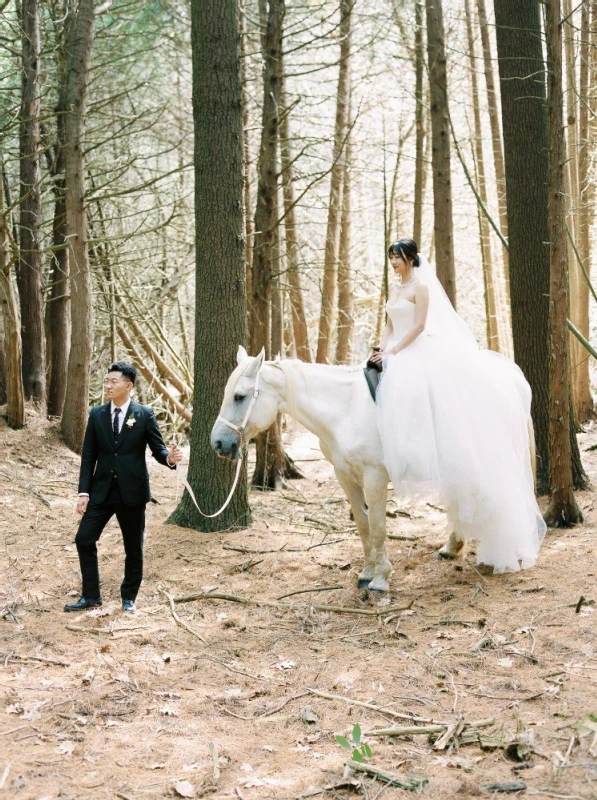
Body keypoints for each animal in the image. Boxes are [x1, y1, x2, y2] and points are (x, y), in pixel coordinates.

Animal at [212, 346, 472, 592]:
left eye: (239, 397)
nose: (218, 443)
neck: (346, 411)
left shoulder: (375, 477)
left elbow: (378, 526)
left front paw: (381, 579)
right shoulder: (345, 475)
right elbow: (363, 524)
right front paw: (367, 573)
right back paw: (452, 547)